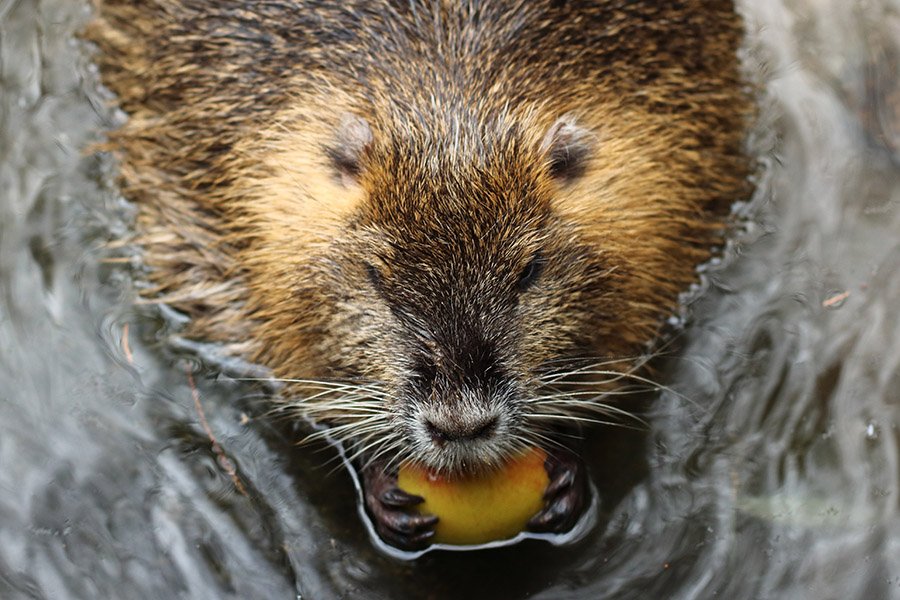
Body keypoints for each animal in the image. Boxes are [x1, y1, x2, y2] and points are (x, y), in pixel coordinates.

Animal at [88, 0, 752, 552]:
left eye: (529, 271)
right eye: (378, 278)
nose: (461, 425)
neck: (447, 90)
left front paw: (567, 478)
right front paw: (381, 490)